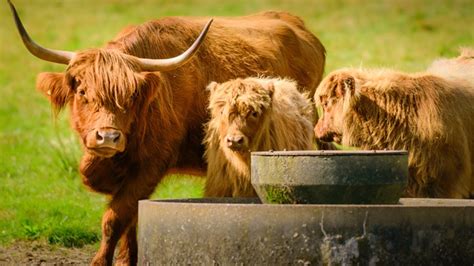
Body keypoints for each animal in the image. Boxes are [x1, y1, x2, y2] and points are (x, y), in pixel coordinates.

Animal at [7, 1, 326, 264]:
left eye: (131, 96)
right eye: (83, 92)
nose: (108, 137)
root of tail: (298, 26)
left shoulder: (150, 166)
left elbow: (115, 218)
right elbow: (130, 220)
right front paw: (127, 260)